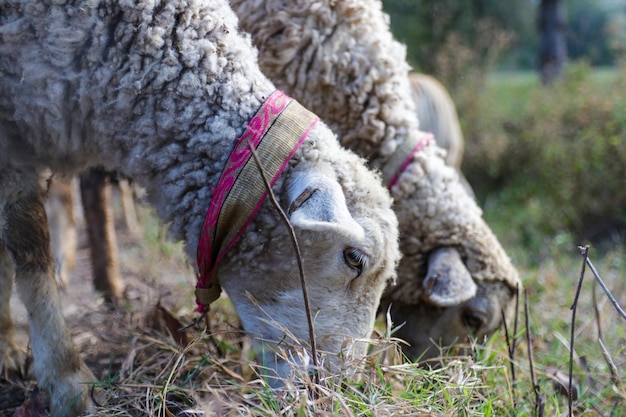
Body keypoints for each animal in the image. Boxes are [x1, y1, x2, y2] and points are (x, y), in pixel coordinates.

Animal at [0, 1, 400, 414]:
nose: (340, 392)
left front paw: (8, 348)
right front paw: (67, 381)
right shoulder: (12, 132)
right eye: (354, 259)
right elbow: (29, 249)